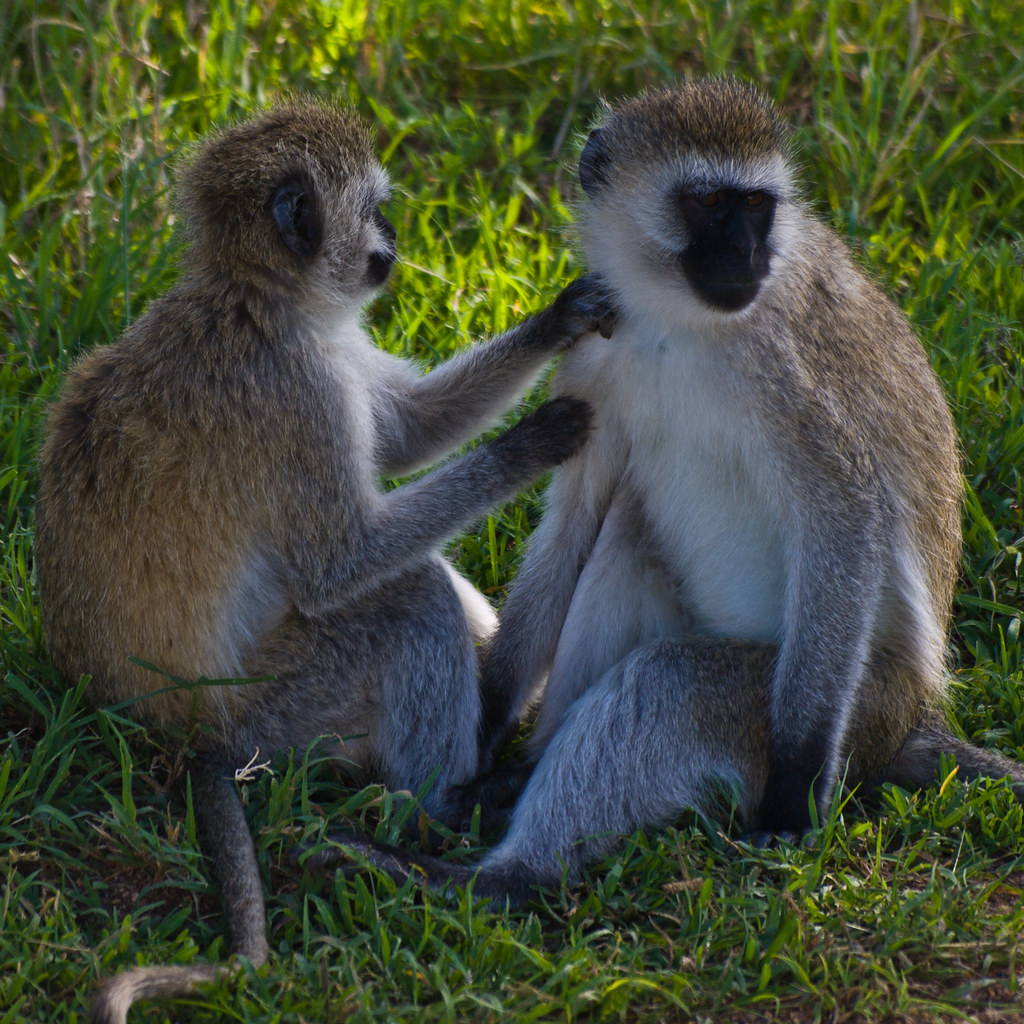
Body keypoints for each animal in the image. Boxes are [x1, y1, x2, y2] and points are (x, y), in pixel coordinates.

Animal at [36, 99, 614, 1019]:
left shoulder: (328, 359)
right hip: (279, 715)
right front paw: (533, 441)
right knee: (409, 598)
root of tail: (179, 733)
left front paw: (562, 315)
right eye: (374, 209)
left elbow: (408, 432)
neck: (259, 302)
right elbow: (342, 563)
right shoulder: (297, 394)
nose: (396, 239)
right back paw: (443, 810)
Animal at [331, 74, 1024, 905]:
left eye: (756, 205)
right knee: (625, 533)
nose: (747, 253)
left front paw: (792, 793)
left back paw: (501, 879)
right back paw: (515, 786)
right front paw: (486, 724)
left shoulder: (780, 367)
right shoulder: (595, 360)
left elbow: (845, 514)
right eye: (706, 203)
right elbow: (573, 522)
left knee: (673, 683)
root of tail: (912, 718)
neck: (672, 320)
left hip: (864, 706)